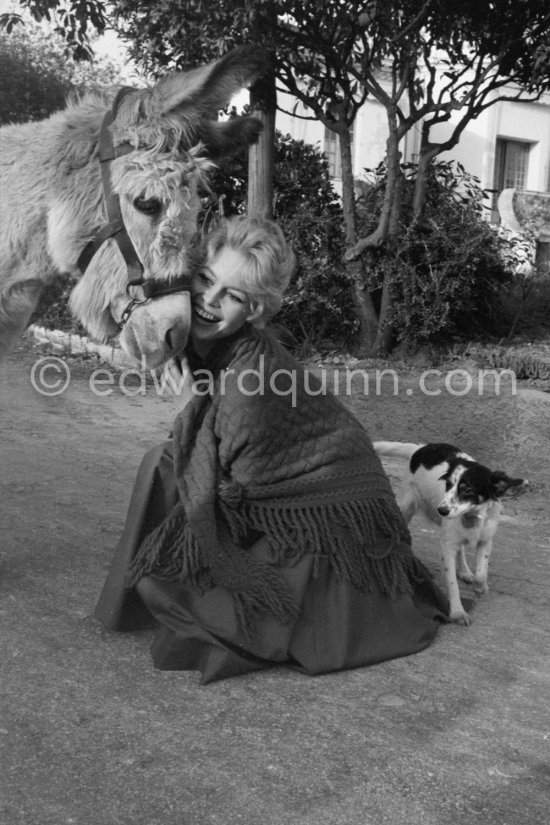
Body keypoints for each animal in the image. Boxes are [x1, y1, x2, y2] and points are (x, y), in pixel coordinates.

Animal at [374, 440, 528, 620]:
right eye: (448, 485)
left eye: (467, 490)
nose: (442, 510)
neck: (471, 517)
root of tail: (421, 447)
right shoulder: (447, 546)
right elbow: (452, 584)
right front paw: (457, 612)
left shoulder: (485, 539)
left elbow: (481, 572)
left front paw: (480, 587)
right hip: (407, 506)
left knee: (460, 550)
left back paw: (465, 571)